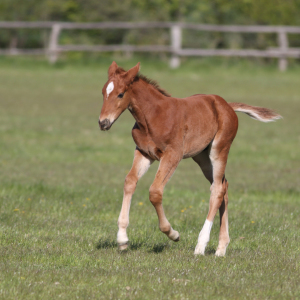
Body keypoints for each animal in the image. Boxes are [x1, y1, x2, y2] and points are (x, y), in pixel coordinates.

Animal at [99, 62, 282, 256]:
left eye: (120, 94)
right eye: (103, 92)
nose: (103, 123)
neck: (153, 116)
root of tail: (227, 105)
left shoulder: (173, 154)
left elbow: (155, 192)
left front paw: (173, 233)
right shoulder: (143, 153)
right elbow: (130, 182)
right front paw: (122, 239)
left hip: (219, 150)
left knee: (217, 189)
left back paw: (201, 246)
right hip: (201, 157)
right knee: (223, 186)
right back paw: (221, 248)